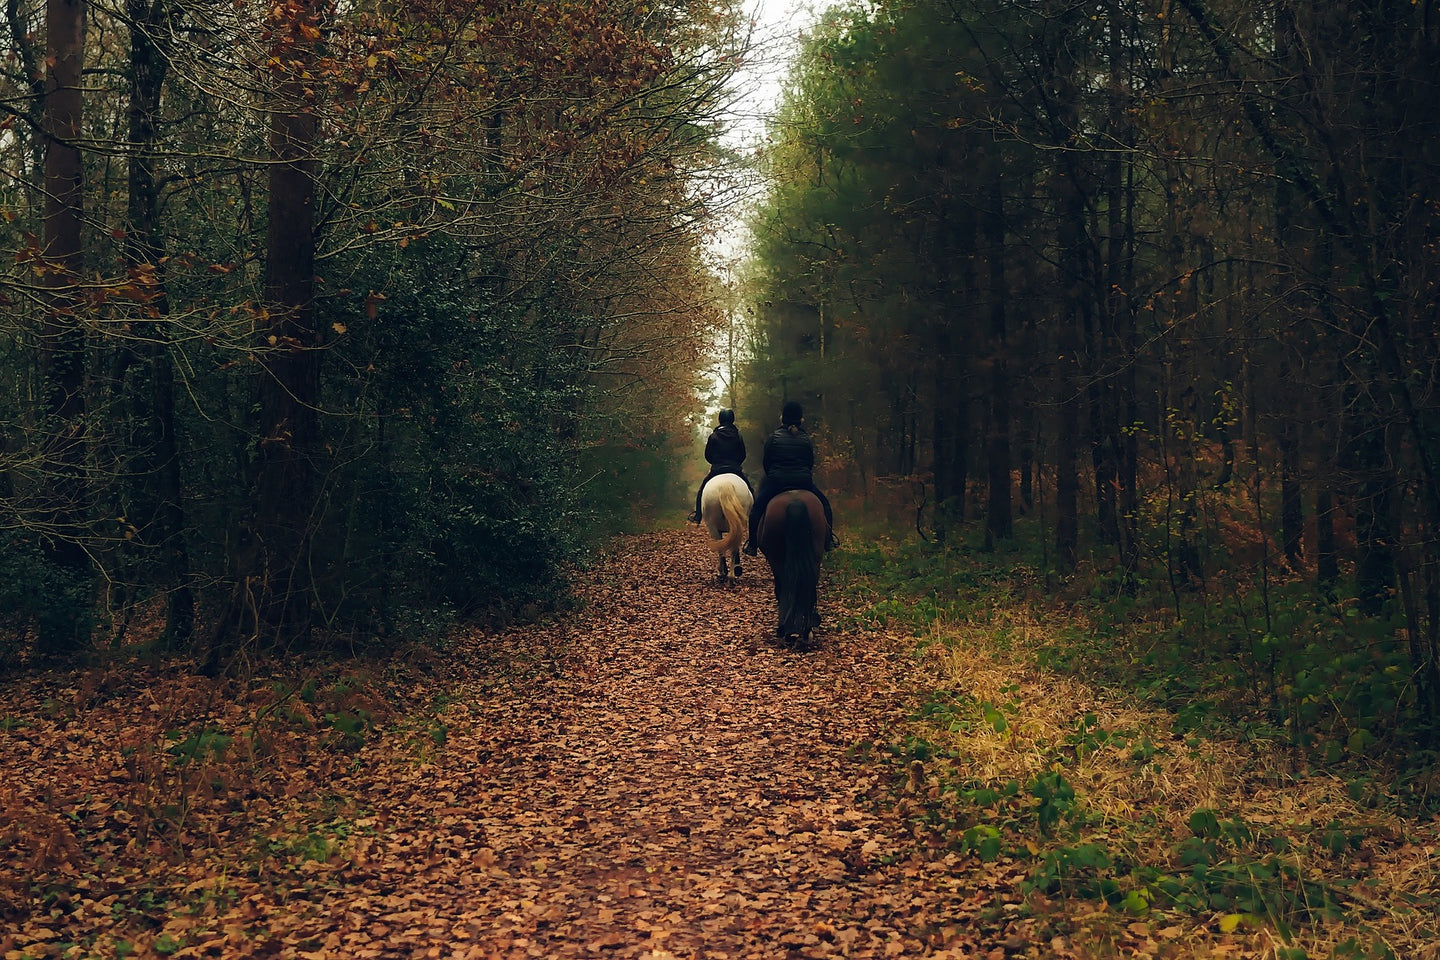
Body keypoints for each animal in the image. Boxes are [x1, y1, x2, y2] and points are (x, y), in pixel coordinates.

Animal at [760, 492, 829, 650]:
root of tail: (795, 501)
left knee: (785, 589)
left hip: (777, 560)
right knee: (808, 590)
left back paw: (786, 631)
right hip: (815, 558)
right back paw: (805, 632)